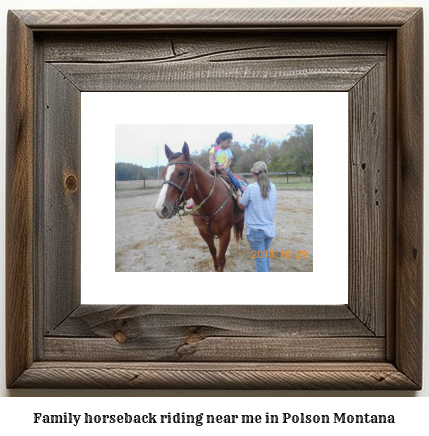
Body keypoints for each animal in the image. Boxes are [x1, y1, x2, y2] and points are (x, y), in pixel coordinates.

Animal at [155, 141, 244, 270]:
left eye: (181, 172)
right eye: (163, 173)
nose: (161, 209)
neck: (210, 204)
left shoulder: (224, 233)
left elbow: (221, 260)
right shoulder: (204, 233)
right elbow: (213, 253)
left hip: (242, 218)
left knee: (240, 230)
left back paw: (241, 245)